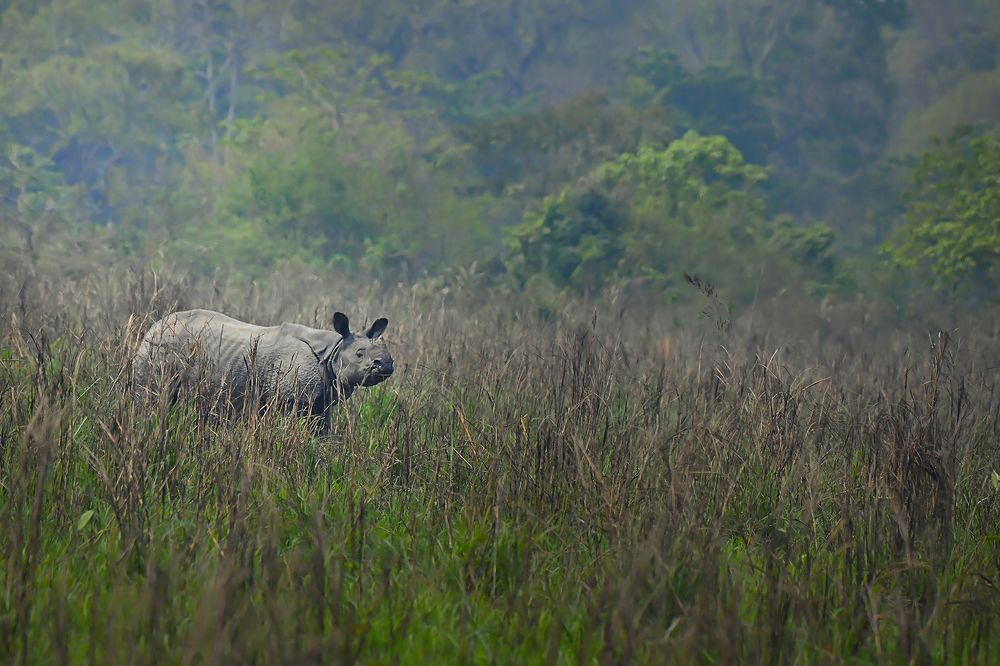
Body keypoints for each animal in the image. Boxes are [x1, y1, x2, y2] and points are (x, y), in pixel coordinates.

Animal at [132, 309, 393, 430]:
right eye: (360, 354)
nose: (386, 365)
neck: (334, 349)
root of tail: (153, 327)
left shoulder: (320, 401)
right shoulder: (293, 397)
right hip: (159, 348)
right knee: (151, 397)